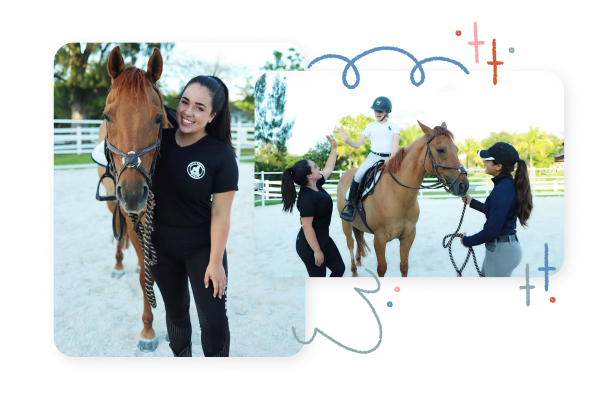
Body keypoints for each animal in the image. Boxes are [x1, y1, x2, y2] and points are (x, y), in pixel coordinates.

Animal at [338, 121, 470, 278]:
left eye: (456, 149)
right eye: (440, 150)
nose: (463, 185)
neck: (398, 196)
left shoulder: (408, 235)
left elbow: (404, 266)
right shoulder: (380, 238)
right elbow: (381, 268)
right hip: (346, 224)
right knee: (350, 244)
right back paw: (354, 271)